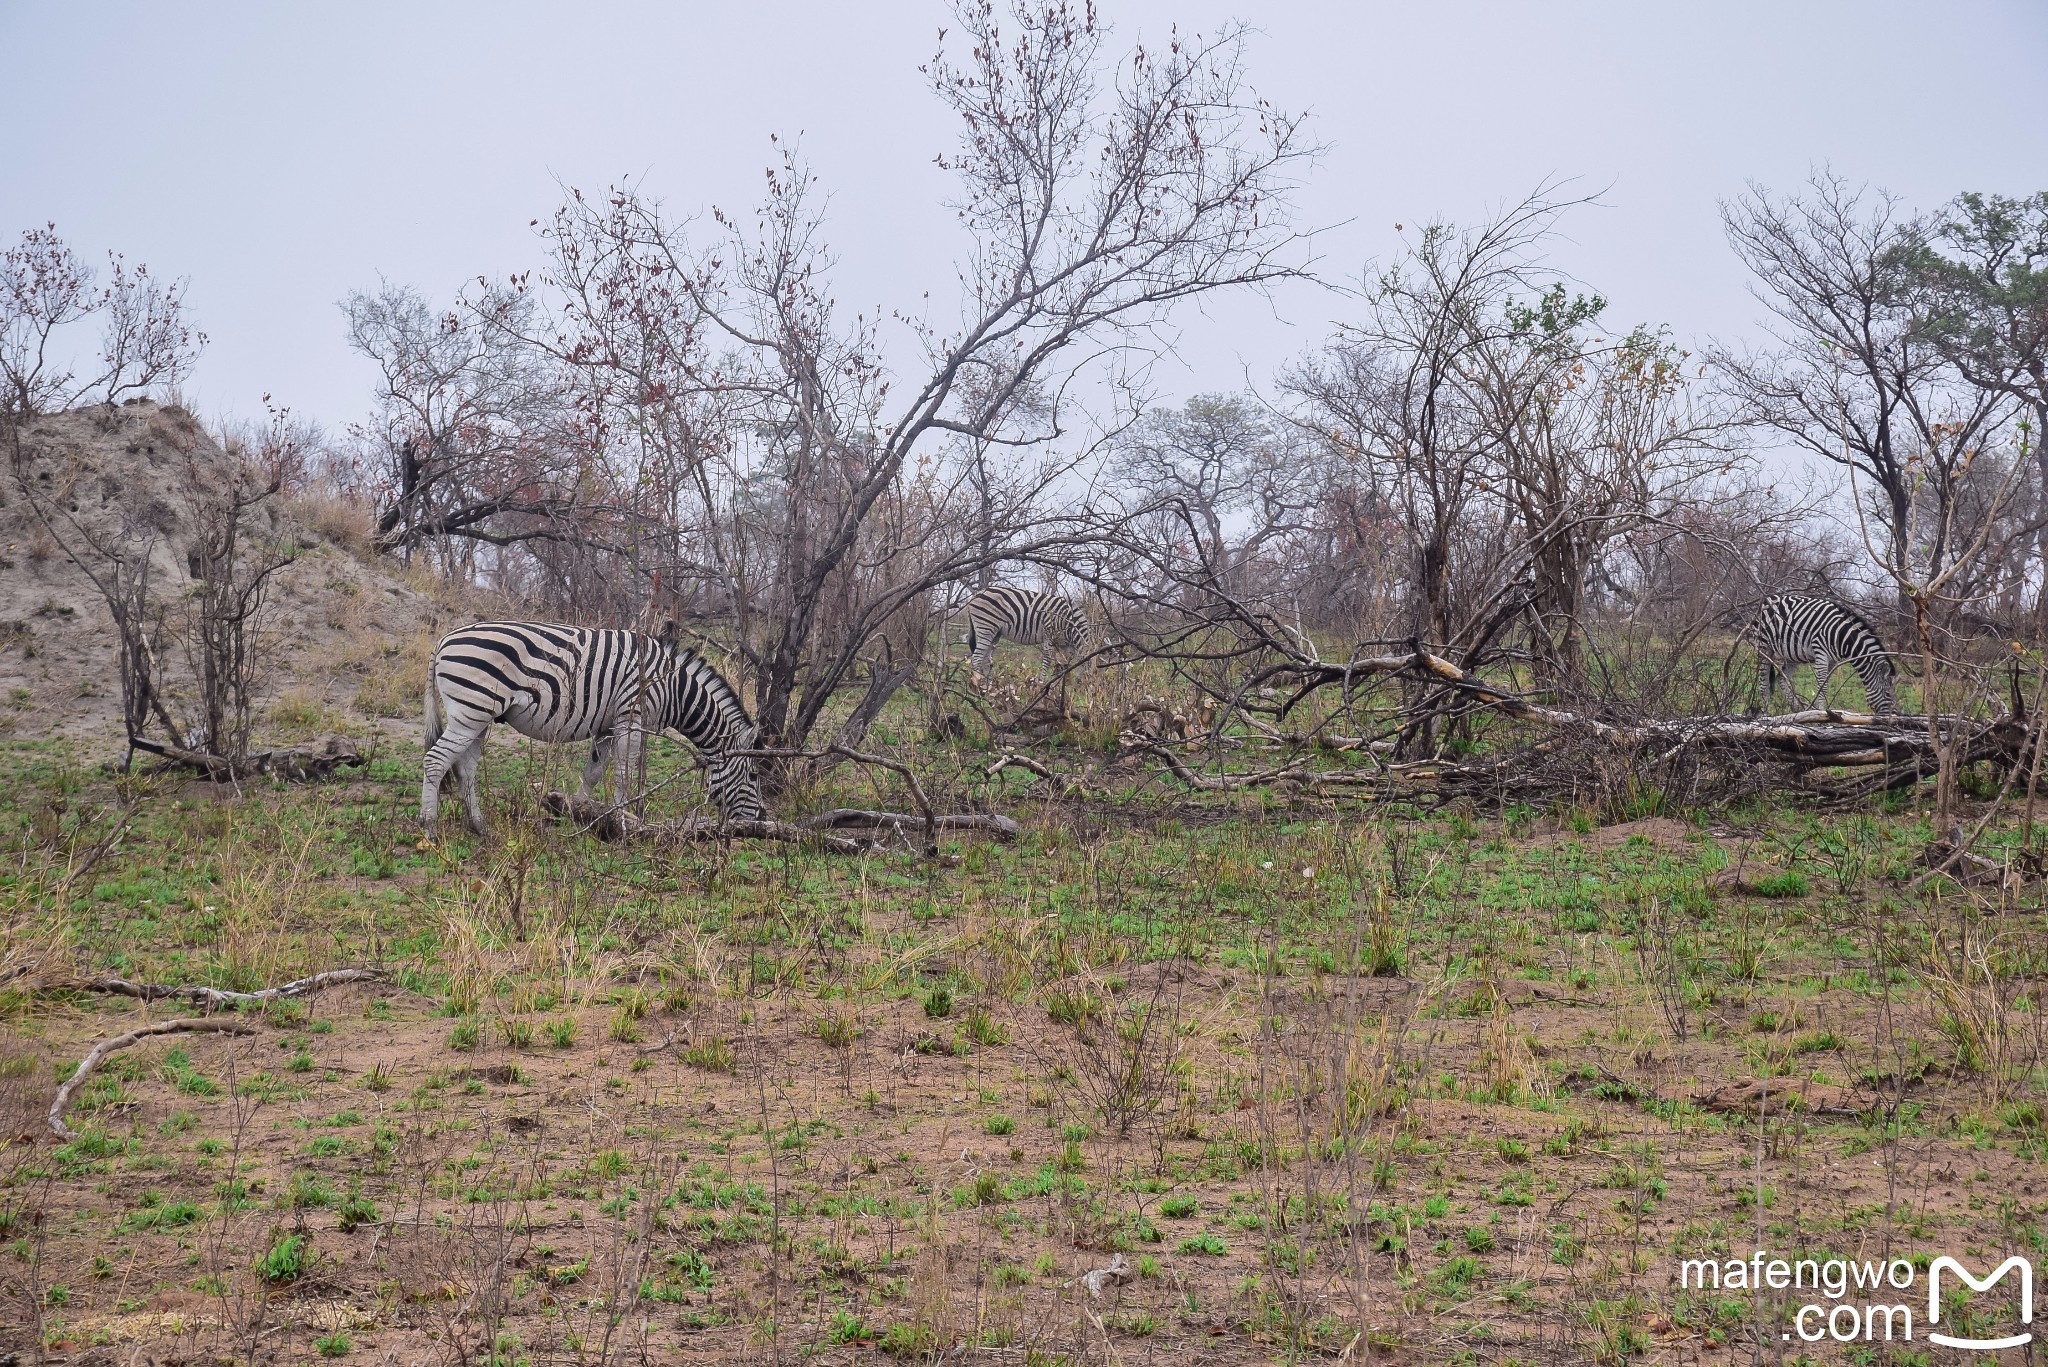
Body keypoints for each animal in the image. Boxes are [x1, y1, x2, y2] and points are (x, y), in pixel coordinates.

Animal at [419, 618, 765, 836]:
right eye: (753, 775)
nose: (762, 821)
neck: (673, 688)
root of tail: (444, 640)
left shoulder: (607, 727)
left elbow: (593, 772)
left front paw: (578, 813)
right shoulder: (631, 715)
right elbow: (624, 774)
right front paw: (625, 823)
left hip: (479, 716)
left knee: (465, 768)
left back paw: (478, 827)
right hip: (471, 709)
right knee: (435, 760)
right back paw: (429, 827)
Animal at [962, 586, 1097, 680]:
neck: (1069, 622)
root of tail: (977, 594)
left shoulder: (1065, 645)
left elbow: (1063, 666)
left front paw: (1057, 688)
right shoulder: (1049, 634)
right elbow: (1048, 660)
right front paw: (1042, 684)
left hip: (995, 633)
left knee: (985, 660)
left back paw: (990, 687)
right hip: (986, 627)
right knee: (976, 658)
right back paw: (979, 686)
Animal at [1744, 594, 1900, 717]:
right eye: (1888, 694)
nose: (1894, 718)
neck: (1841, 636)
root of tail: (1768, 599)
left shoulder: (1833, 660)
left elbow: (1825, 684)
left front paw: (1824, 711)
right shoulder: (1821, 653)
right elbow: (1821, 685)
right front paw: (1821, 712)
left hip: (1792, 655)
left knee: (1781, 679)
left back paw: (1798, 708)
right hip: (1764, 646)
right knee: (1764, 682)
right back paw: (1766, 713)